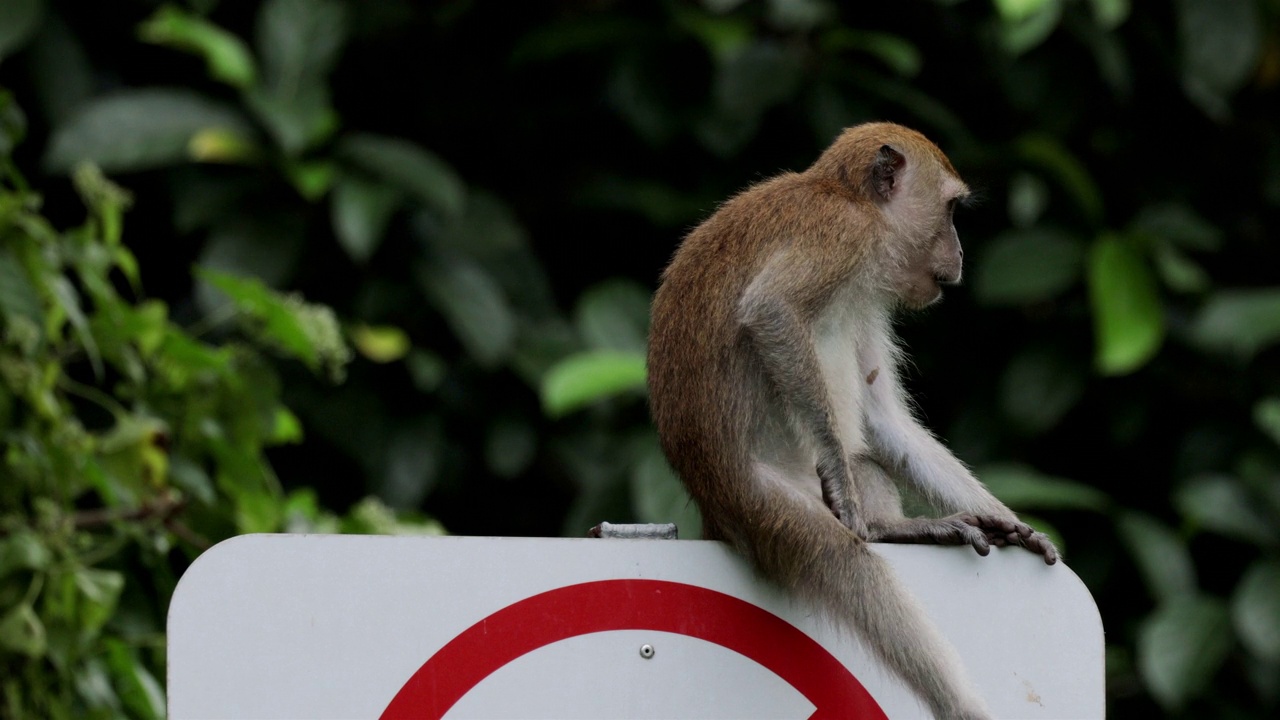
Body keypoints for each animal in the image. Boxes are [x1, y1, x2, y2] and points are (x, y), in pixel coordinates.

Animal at [650, 122, 1059, 717]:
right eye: (951, 210)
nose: (961, 252)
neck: (847, 197)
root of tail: (711, 505)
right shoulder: (845, 237)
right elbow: (771, 311)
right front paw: (840, 479)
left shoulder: (868, 291)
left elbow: (884, 420)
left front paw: (1007, 519)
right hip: (762, 503)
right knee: (849, 566)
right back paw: (961, 704)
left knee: (868, 465)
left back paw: (898, 527)